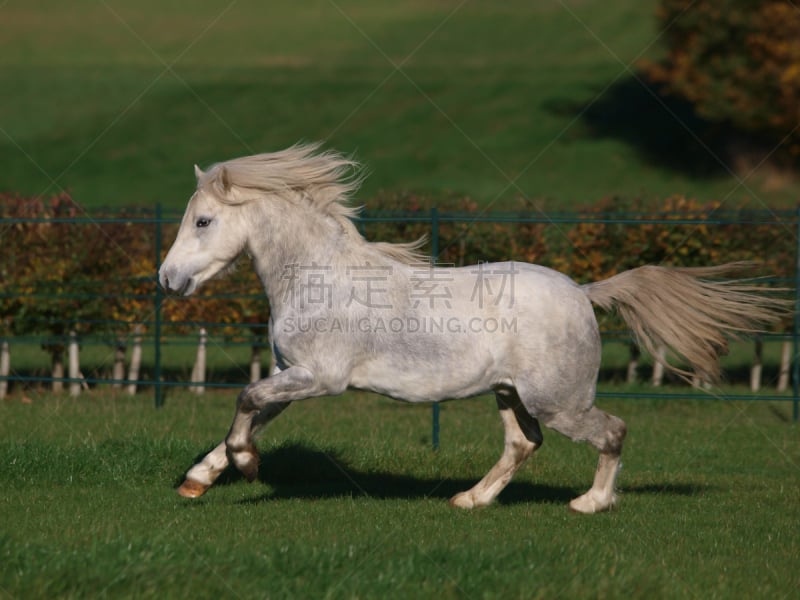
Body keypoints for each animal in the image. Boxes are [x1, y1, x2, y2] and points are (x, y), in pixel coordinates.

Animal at [159, 143, 784, 512]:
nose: (167, 279)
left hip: (558, 400)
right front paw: (198, 479)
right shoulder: (294, 374)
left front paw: (247, 466)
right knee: (523, 444)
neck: (322, 278)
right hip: (510, 394)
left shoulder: (319, 377)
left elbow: (245, 402)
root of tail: (583, 293)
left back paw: (590, 503)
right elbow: (251, 413)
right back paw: (471, 500)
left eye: (203, 221)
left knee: (612, 431)